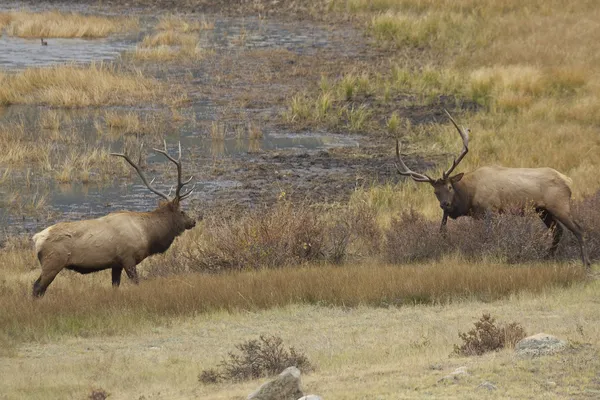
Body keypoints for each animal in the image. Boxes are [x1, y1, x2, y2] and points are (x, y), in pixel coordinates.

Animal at [32, 141, 197, 296]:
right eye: (182, 211)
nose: (193, 221)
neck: (147, 234)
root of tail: (37, 238)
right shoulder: (128, 258)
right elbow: (136, 282)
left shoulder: (116, 263)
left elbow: (115, 286)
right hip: (53, 263)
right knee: (37, 287)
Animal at [394, 111, 592, 270]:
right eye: (435, 192)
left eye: (449, 186)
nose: (445, 205)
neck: (470, 195)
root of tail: (568, 181)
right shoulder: (478, 215)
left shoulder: (491, 210)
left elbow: (489, 237)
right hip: (542, 210)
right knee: (558, 230)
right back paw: (547, 257)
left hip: (559, 205)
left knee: (578, 229)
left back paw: (586, 262)